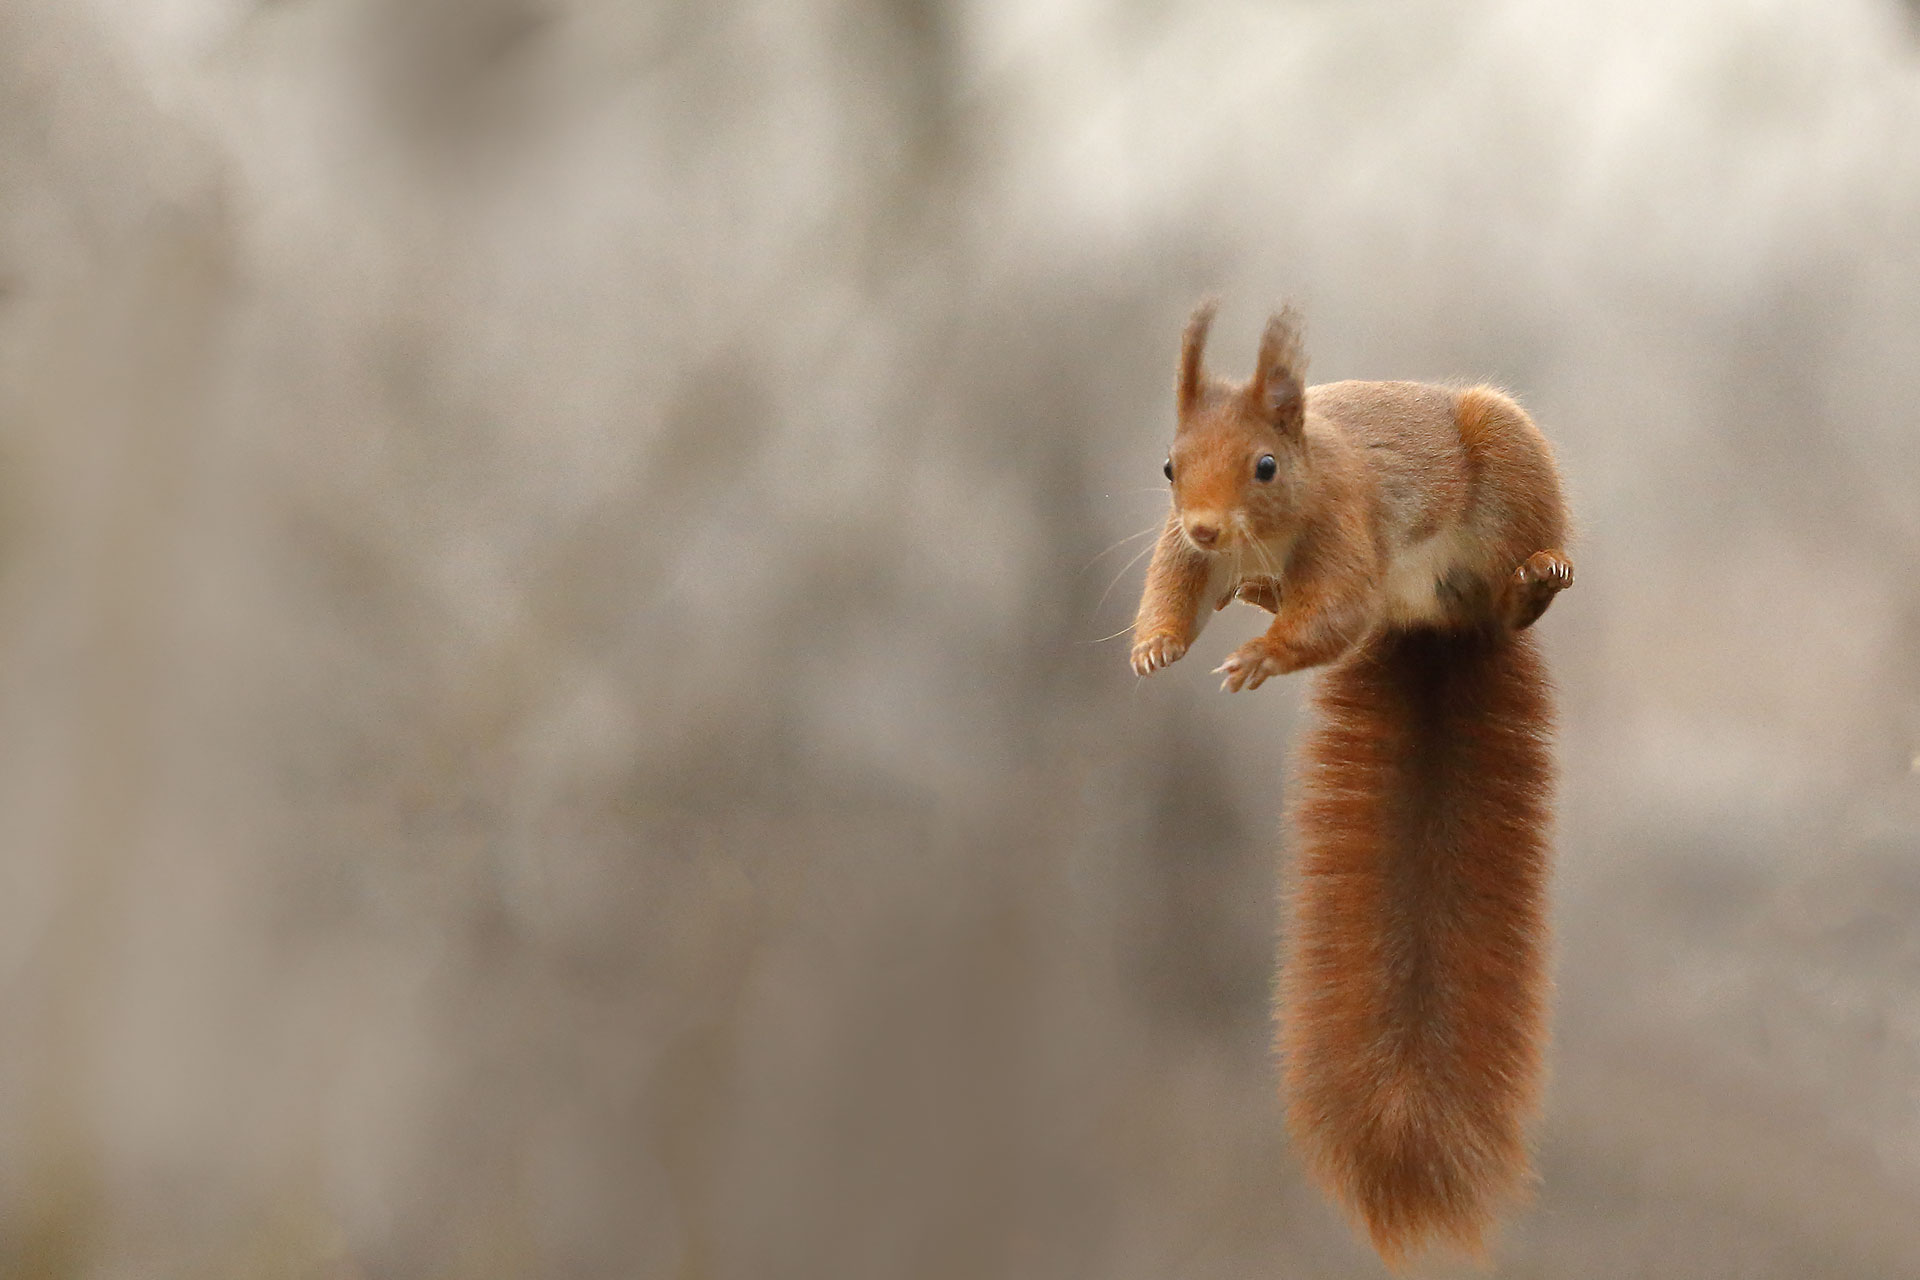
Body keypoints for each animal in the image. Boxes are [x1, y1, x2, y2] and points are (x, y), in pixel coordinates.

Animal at [1129, 301, 1572, 1269]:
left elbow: (1330, 614)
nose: (1209, 526)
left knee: (1519, 583)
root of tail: (1439, 625)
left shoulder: (1346, 526)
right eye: (1169, 464)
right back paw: (1255, 594)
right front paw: (1154, 647)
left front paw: (1259, 658)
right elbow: (1170, 588)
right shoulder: (1181, 549)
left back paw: (1538, 580)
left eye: (1266, 465)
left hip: (1513, 475)